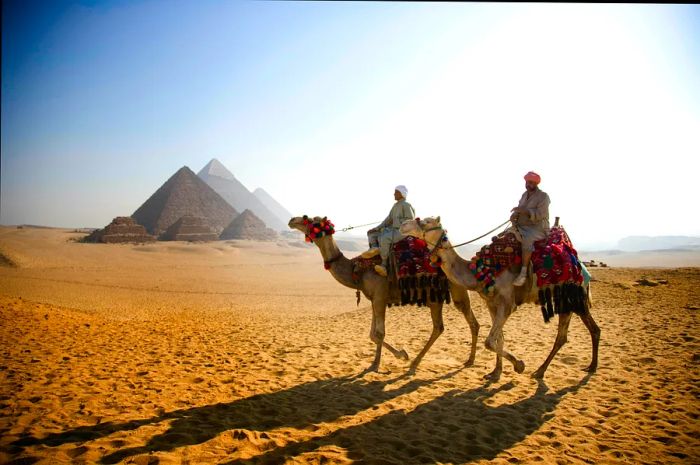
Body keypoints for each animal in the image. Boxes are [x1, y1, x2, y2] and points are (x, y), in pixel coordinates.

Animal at [286, 216, 482, 372]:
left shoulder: (380, 295)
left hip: (449, 290)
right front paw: (402, 354)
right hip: (442, 294)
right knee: (453, 325)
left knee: (458, 324)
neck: (357, 270)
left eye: (311, 220)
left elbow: (379, 333)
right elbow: (372, 334)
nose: (292, 220)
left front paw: (376, 364)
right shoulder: (374, 298)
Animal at [400, 218, 600, 380]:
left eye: (426, 221)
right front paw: (496, 372)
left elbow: (490, 341)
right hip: (566, 301)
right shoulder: (491, 303)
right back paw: (548, 370)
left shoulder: (507, 303)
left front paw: (519, 365)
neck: (480, 271)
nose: (404, 224)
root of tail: (581, 267)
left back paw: (582, 368)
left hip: (575, 297)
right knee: (566, 336)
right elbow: (499, 338)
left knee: (587, 330)